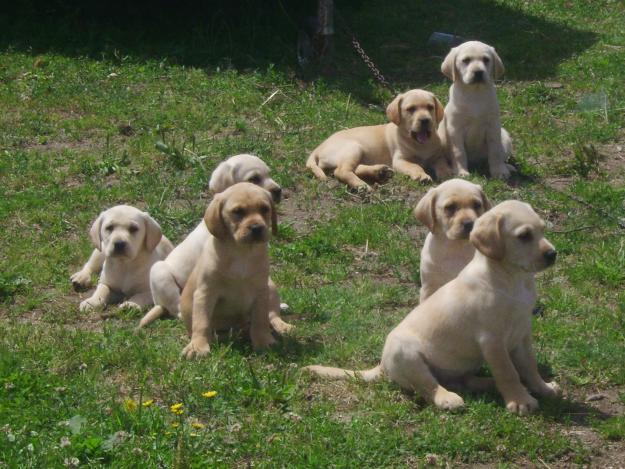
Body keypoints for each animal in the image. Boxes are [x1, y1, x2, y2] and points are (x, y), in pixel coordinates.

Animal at [136, 153, 292, 332]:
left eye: (269, 174)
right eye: (254, 179)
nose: (278, 191)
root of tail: (157, 303)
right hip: (159, 272)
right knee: (176, 307)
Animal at [180, 183, 278, 358]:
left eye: (265, 209)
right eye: (238, 212)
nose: (257, 228)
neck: (242, 252)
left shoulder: (261, 291)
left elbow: (260, 320)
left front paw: (263, 341)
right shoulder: (206, 292)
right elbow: (202, 322)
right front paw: (198, 346)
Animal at [304, 200, 560, 414]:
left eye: (542, 230)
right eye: (524, 236)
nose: (552, 254)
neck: (513, 279)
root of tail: (382, 365)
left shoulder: (522, 333)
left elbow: (529, 366)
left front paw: (544, 388)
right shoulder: (492, 340)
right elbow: (508, 372)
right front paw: (520, 400)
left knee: (463, 380)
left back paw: (486, 383)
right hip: (407, 355)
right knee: (429, 386)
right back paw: (448, 398)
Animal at [306, 88, 448, 190]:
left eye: (430, 107)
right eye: (411, 109)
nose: (425, 120)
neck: (420, 144)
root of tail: (319, 147)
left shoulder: (438, 156)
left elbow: (443, 165)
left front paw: (446, 175)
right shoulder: (400, 160)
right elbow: (415, 166)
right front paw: (422, 175)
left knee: (350, 168)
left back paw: (379, 171)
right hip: (353, 148)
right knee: (341, 171)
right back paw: (361, 185)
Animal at [438, 40, 512, 179]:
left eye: (486, 60)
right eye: (466, 60)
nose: (478, 72)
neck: (475, 93)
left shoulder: (493, 126)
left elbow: (495, 151)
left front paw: (499, 171)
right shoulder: (455, 129)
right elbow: (459, 152)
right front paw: (461, 172)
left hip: (505, 137)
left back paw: (508, 167)